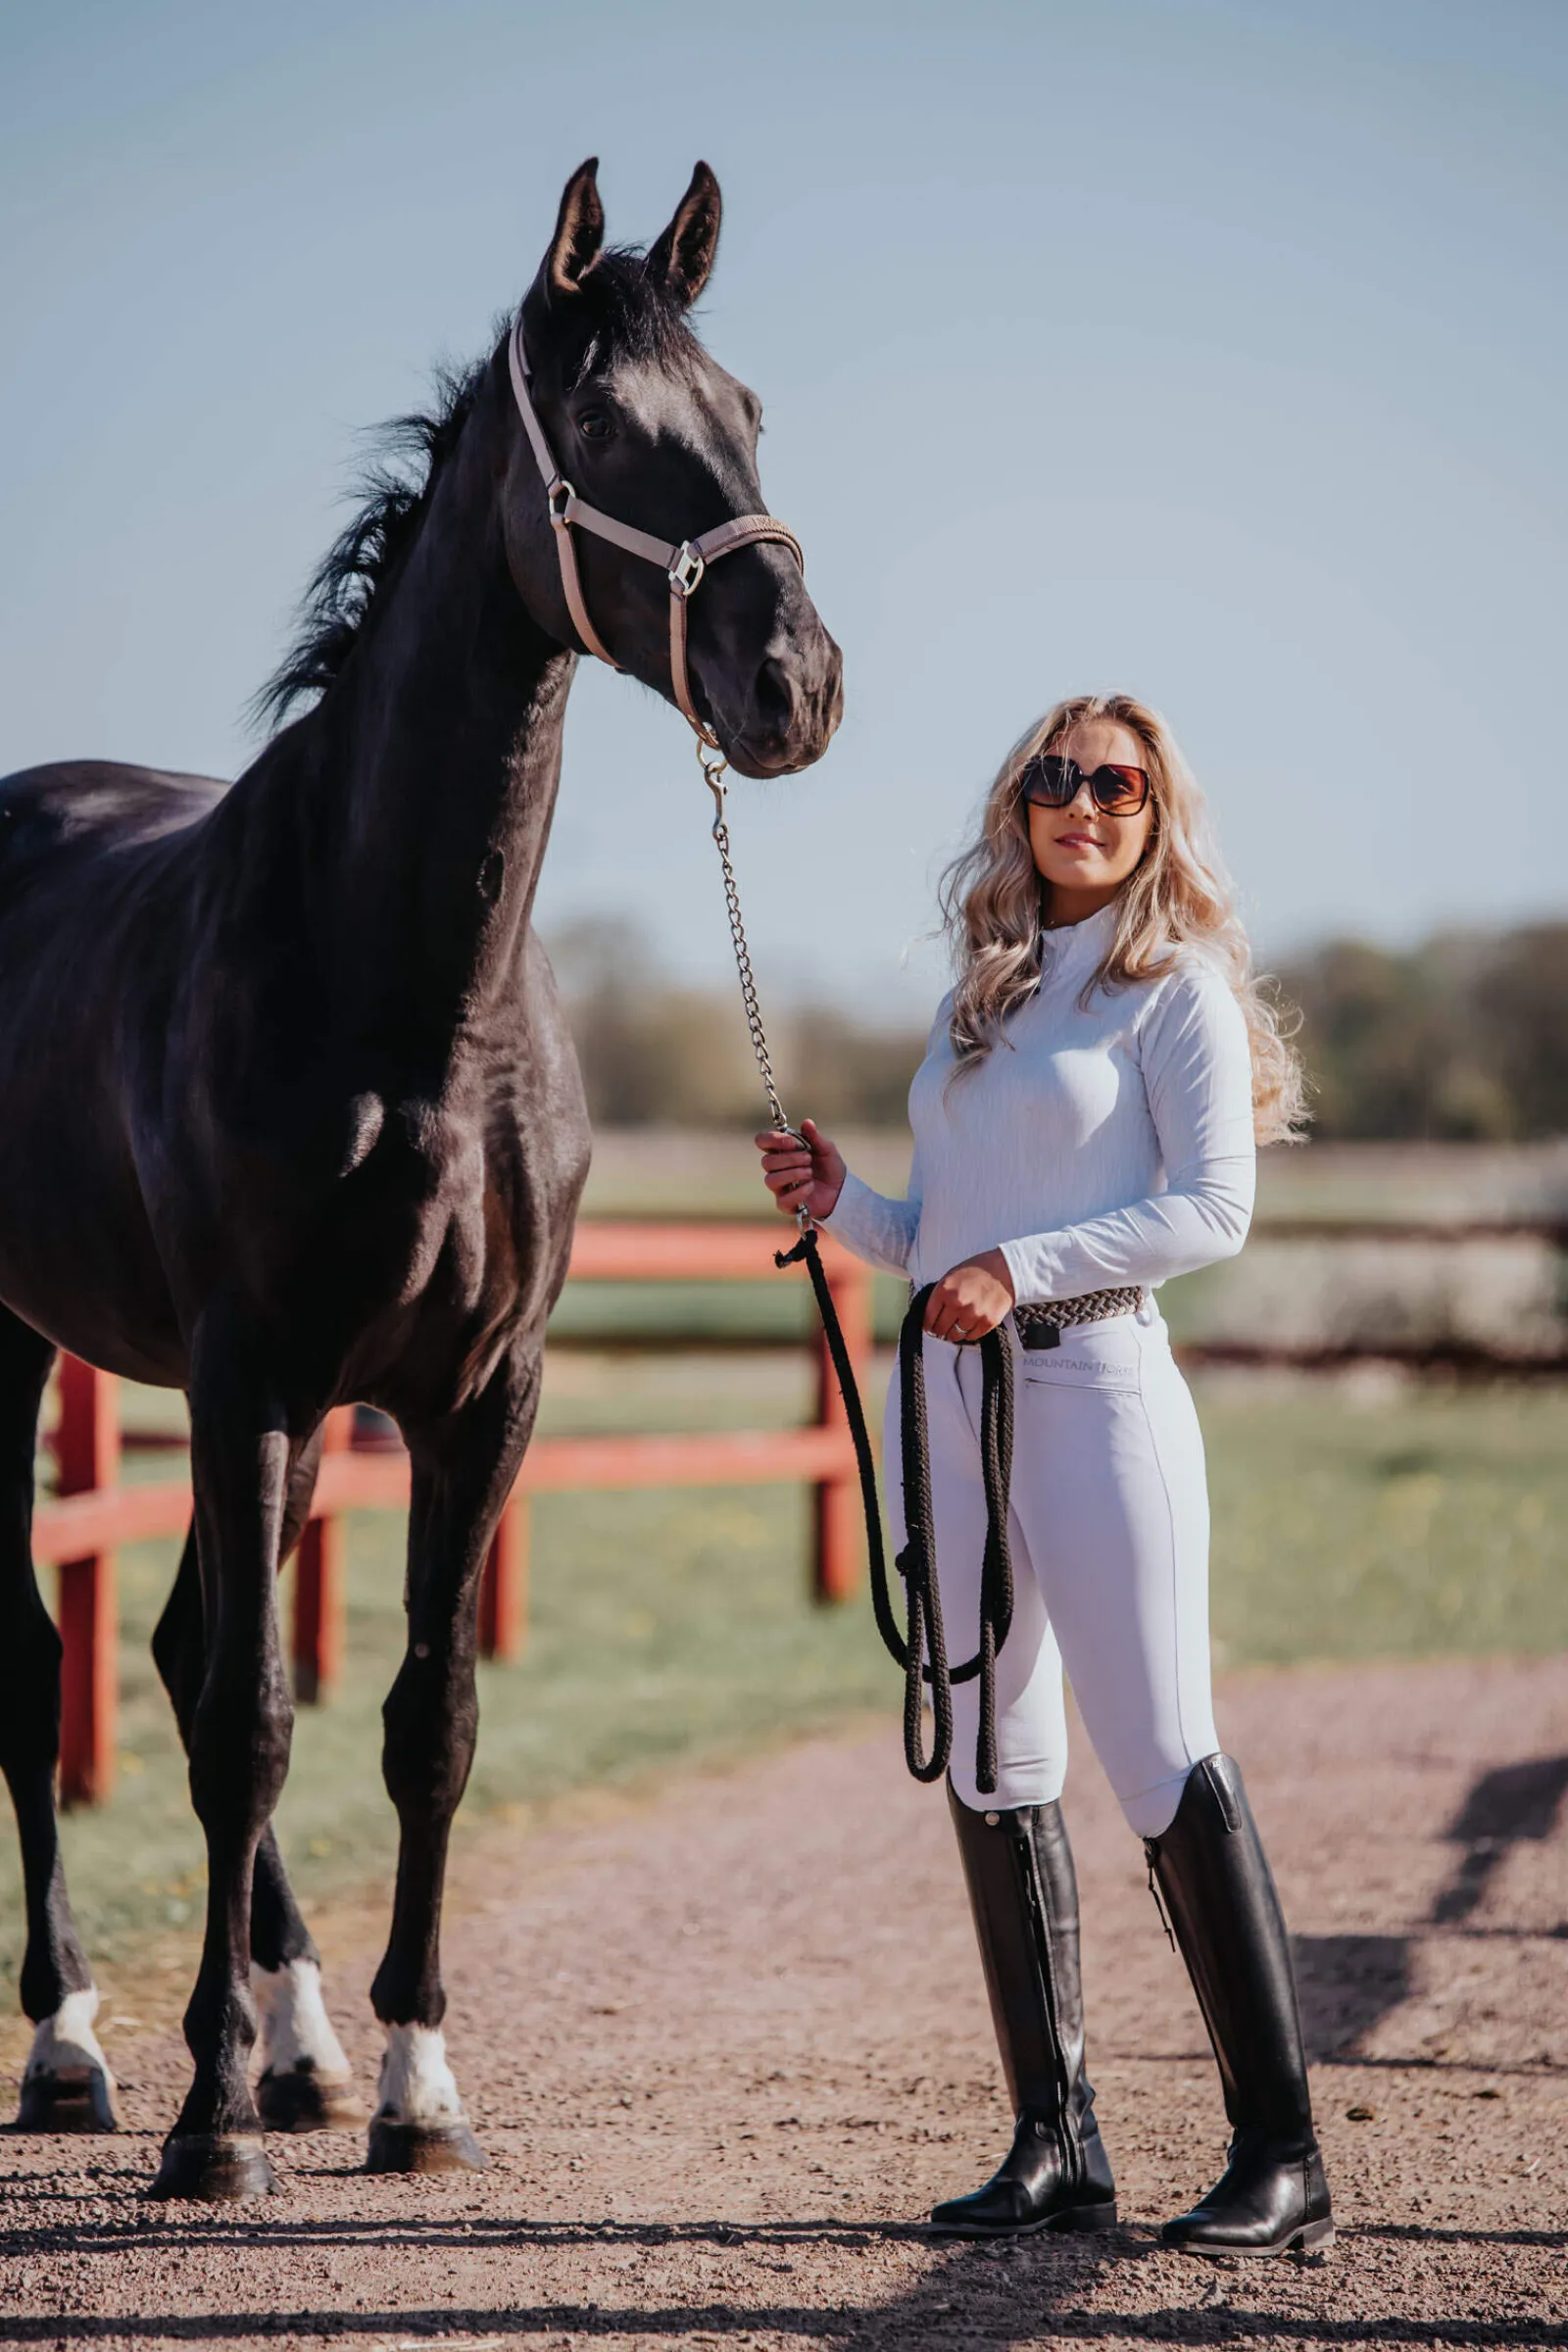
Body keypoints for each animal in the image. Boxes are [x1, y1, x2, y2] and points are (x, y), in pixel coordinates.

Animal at [0, 157, 841, 2200]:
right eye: (608, 435)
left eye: (749, 411)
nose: (795, 682)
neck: (405, 995)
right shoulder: (248, 1376)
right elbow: (249, 1723)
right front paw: (212, 2125)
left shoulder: (474, 1394)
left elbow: (426, 1721)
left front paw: (405, 2082)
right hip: (18, 1350)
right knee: (37, 1654)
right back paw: (75, 2049)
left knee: (159, 1644)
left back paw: (294, 2041)